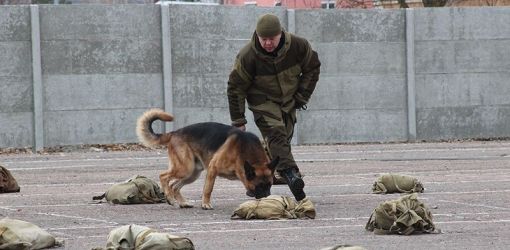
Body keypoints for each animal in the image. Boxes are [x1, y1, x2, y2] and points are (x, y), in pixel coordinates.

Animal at [136, 109, 278, 209]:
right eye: (259, 186)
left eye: (270, 185)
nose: (269, 199)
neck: (245, 150)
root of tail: (174, 133)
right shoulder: (213, 168)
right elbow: (208, 189)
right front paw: (205, 204)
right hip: (185, 169)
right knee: (163, 176)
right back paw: (170, 198)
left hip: (192, 174)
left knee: (174, 186)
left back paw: (182, 202)